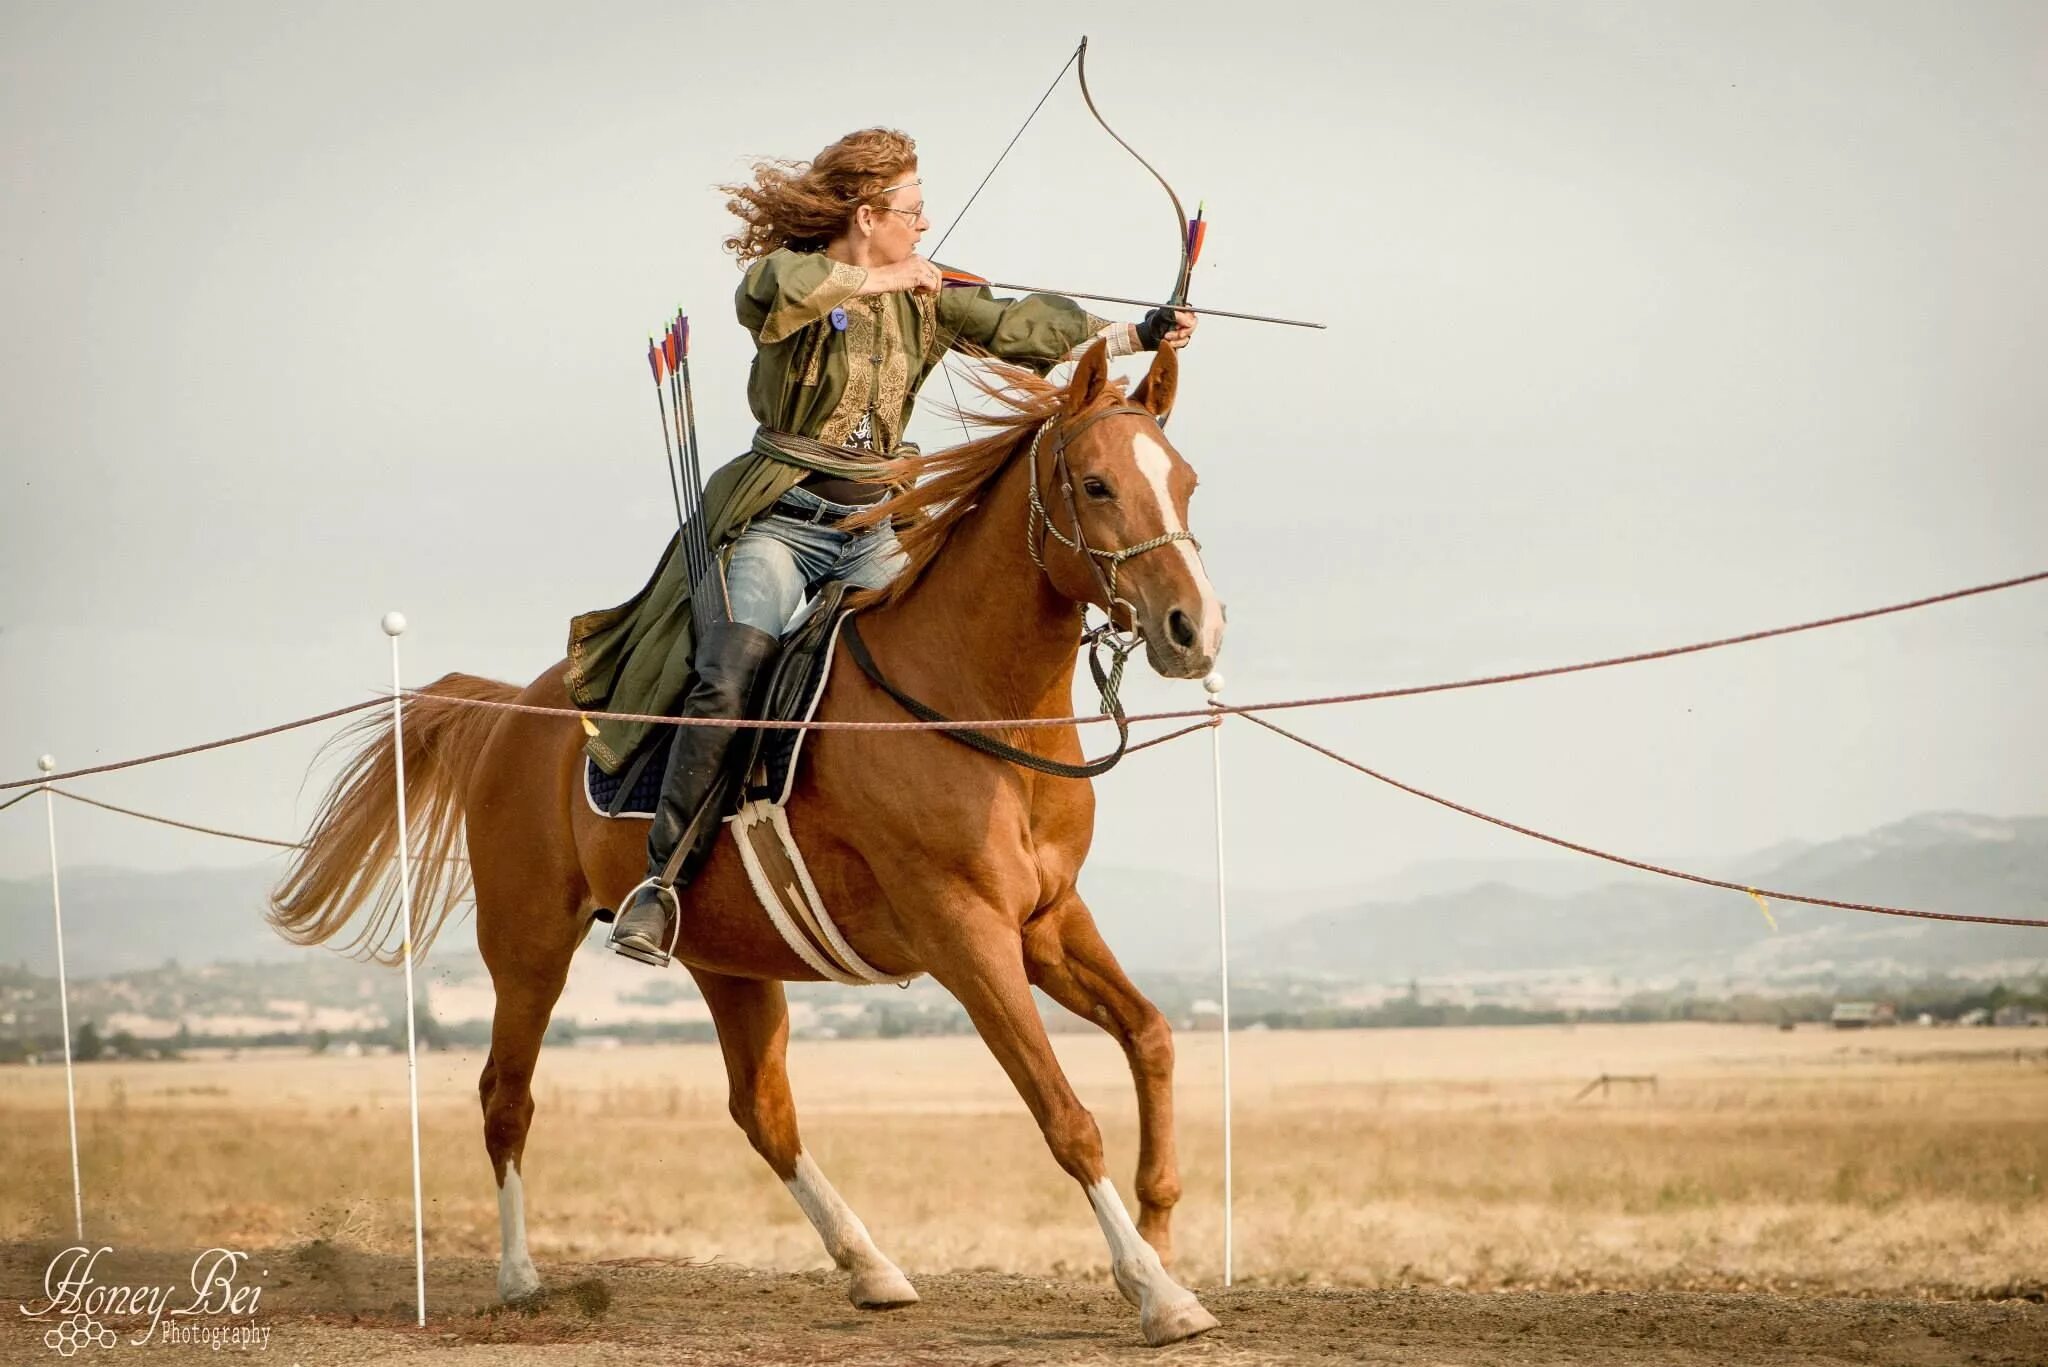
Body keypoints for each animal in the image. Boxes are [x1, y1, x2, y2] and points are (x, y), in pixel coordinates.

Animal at [272, 342, 1228, 1344]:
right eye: (1096, 483)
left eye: (1185, 481)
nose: (1193, 629)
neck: (968, 704)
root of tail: (507, 709)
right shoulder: (965, 935)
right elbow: (1063, 1111)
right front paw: (1155, 1289)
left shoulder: (1048, 921)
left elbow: (1152, 1035)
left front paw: (1163, 1229)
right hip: (528, 947)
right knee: (507, 1094)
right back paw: (520, 1277)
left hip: (726, 958)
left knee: (761, 1109)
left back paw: (871, 1265)